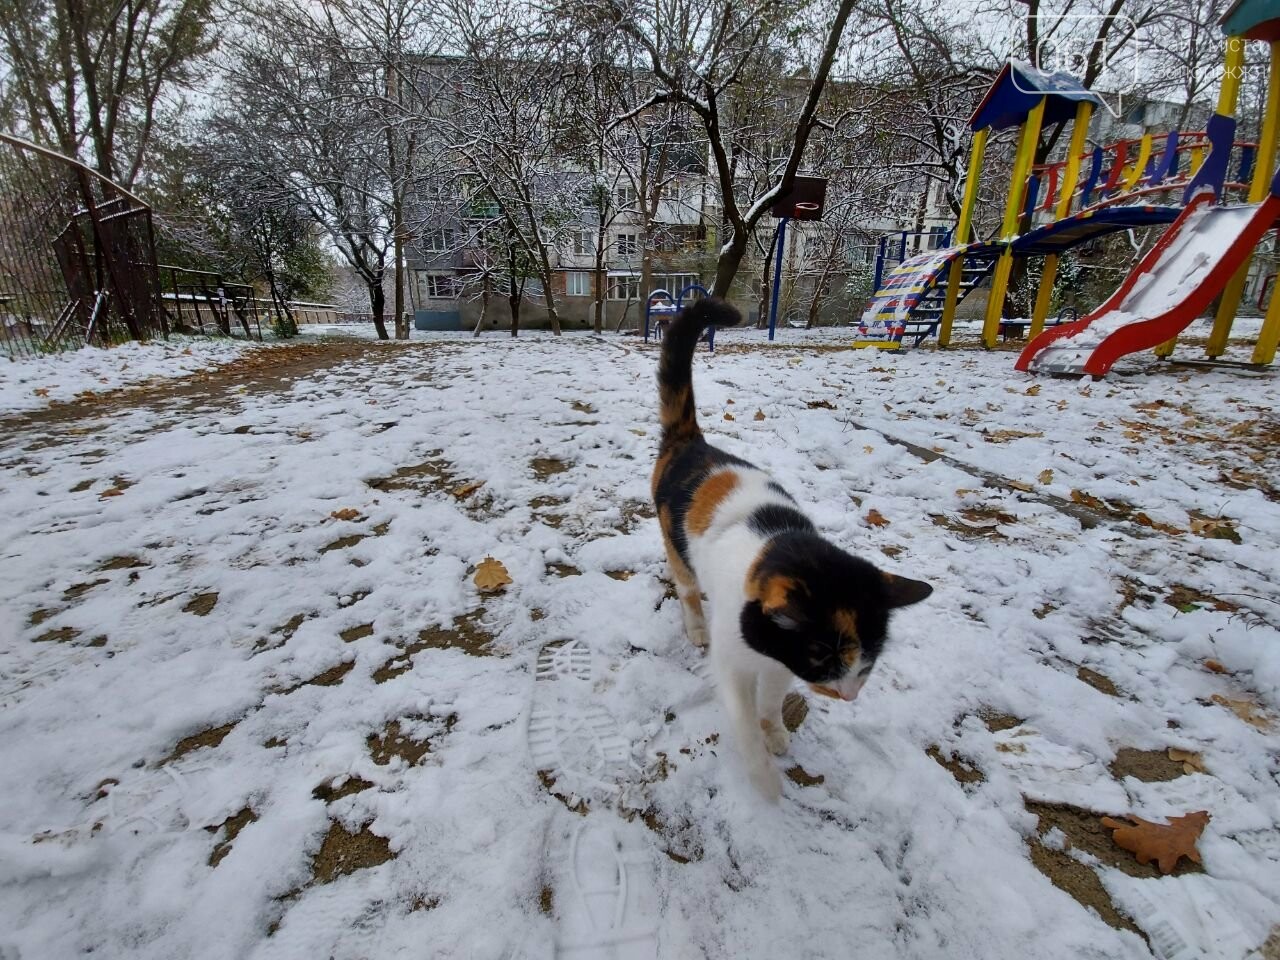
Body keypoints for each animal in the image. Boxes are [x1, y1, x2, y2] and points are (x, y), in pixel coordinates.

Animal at [650, 296, 931, 798]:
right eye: (822, 655)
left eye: (870, 657)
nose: (849, 694)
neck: (777, 542)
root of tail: (691, 442)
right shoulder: (734, 664)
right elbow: (743, 719)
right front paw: (764, 781)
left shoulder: (779, 664)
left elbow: (771, 700)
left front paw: (777, 733)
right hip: (674, 542)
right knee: (686, 586)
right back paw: (696, 626)